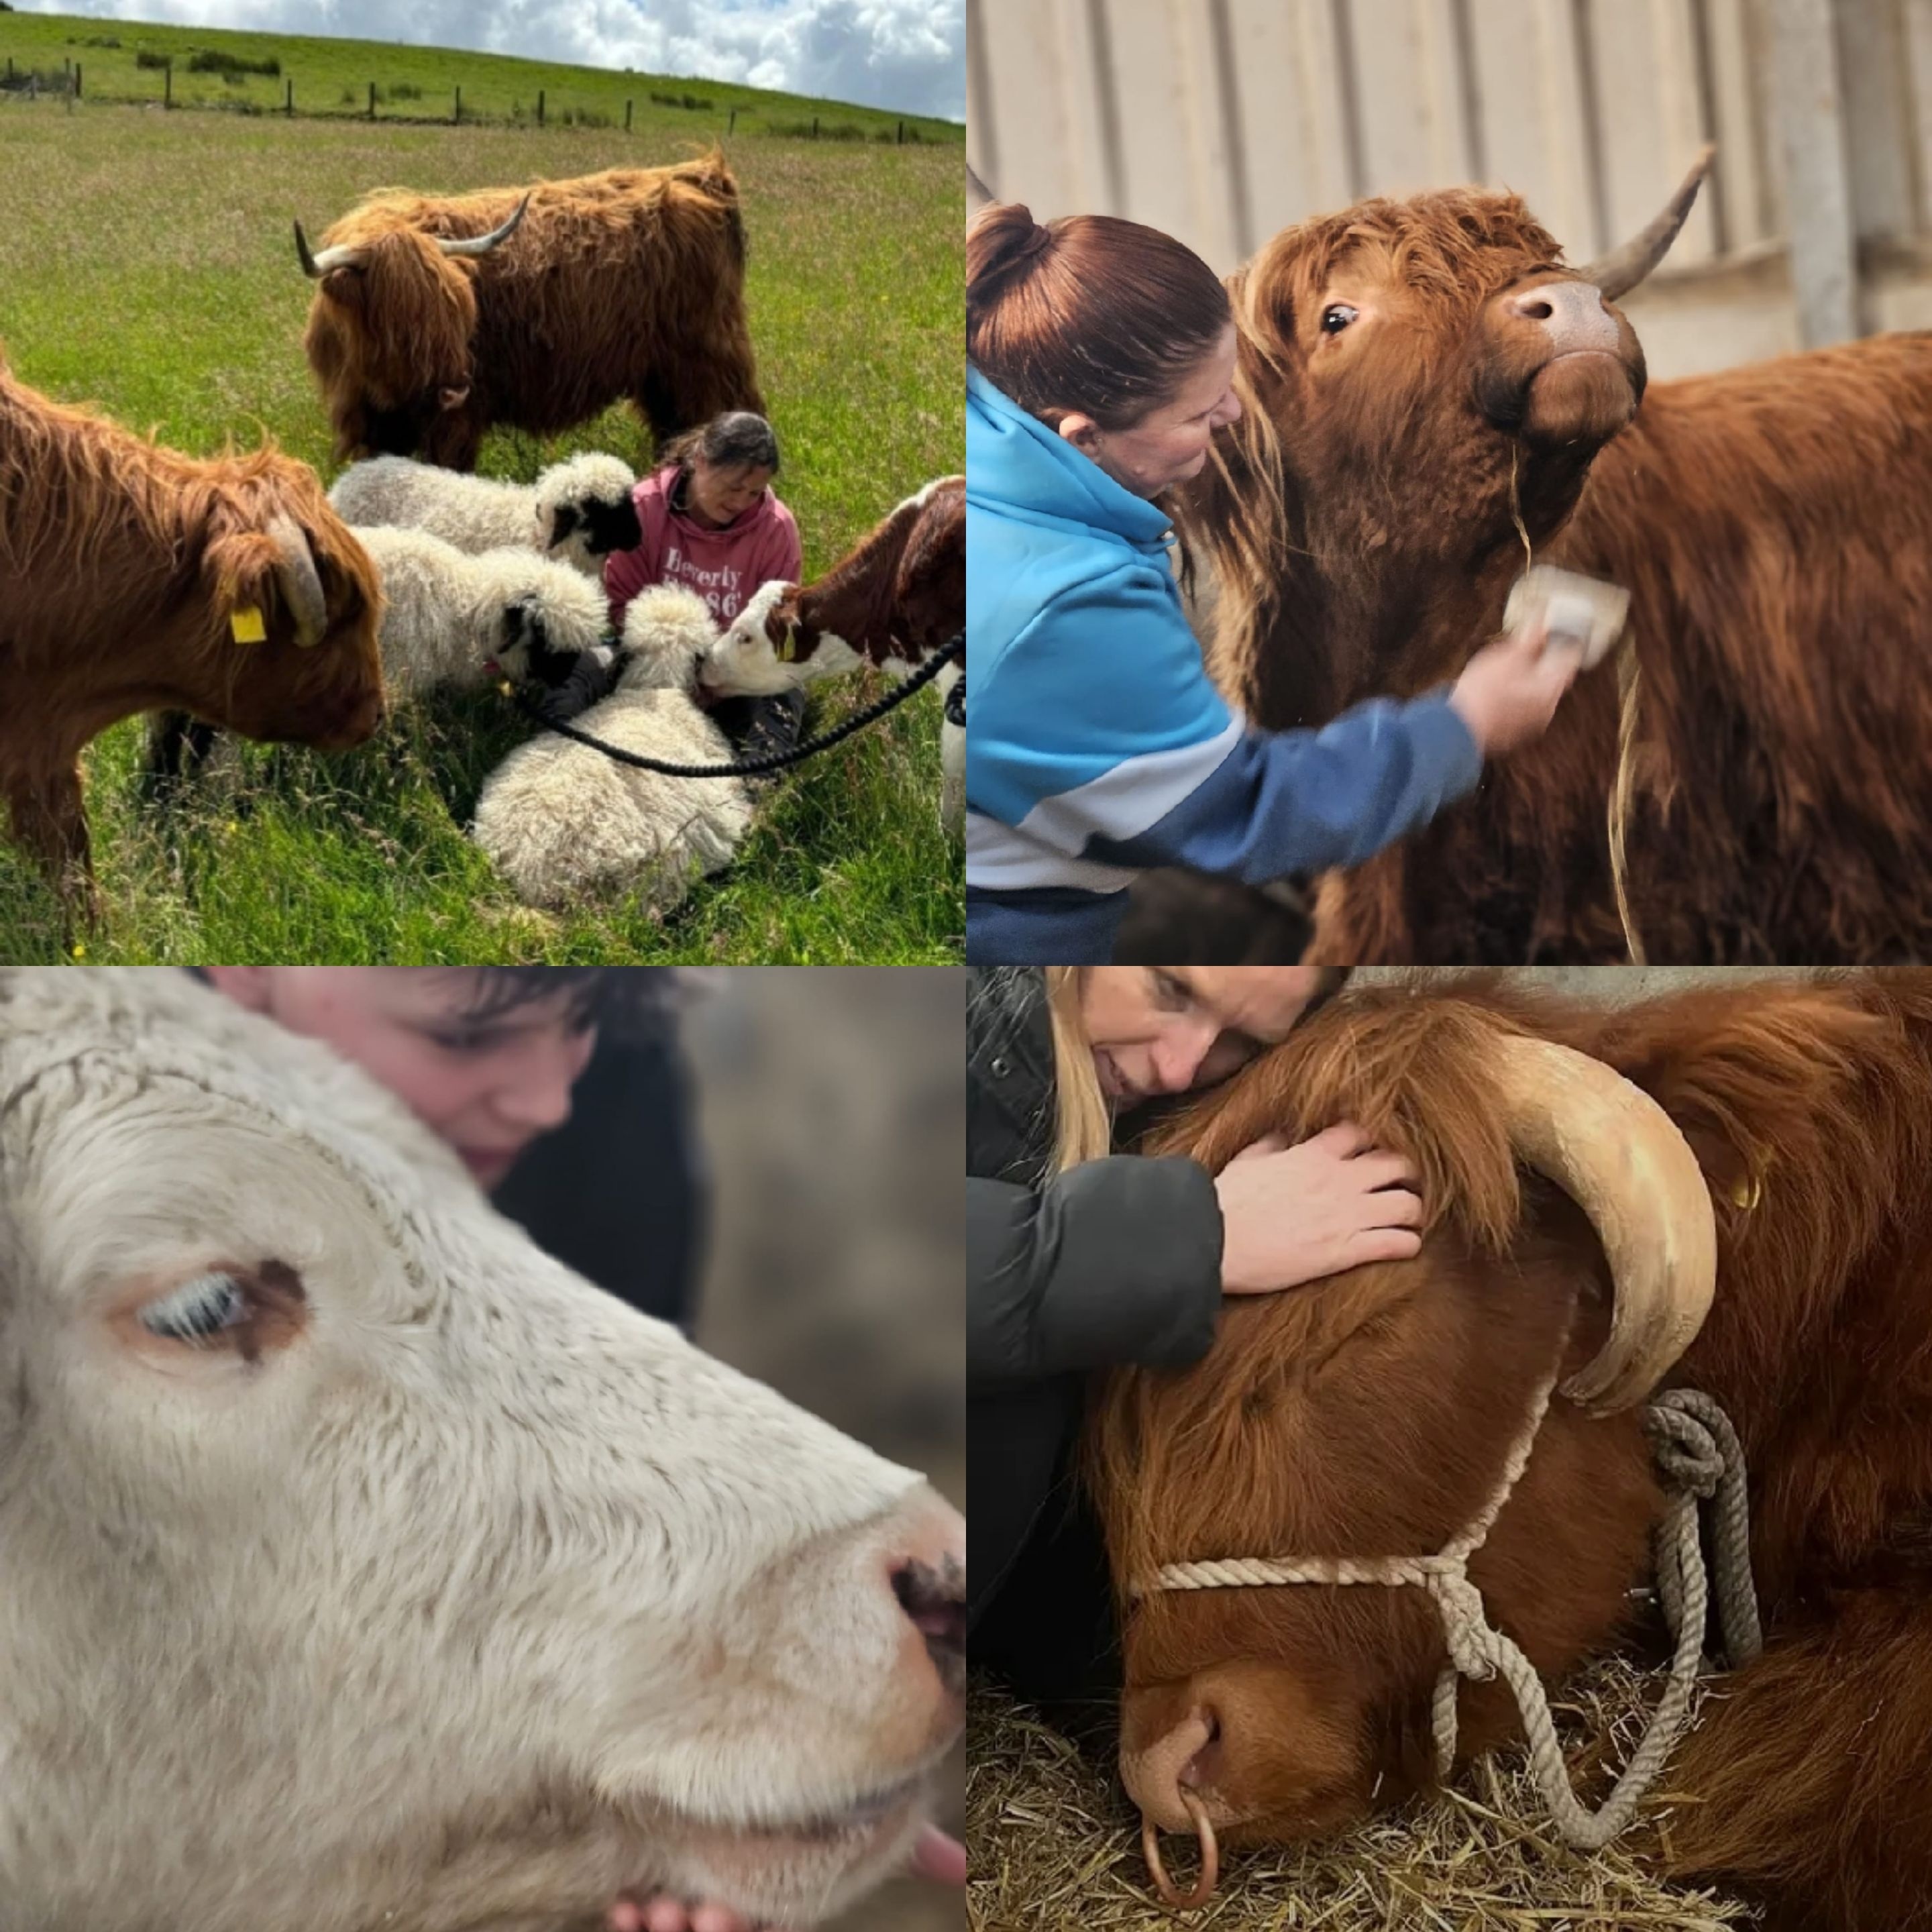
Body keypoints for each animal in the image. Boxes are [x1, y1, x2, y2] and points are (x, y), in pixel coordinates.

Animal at [296, 158, 766, 473]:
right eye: (398, 319)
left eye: (458, 312)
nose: (454, 389)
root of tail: (700, 175)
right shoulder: (370, 426)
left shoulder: (454, 425)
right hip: (663, 375)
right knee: (671, 428)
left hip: (709, 360)